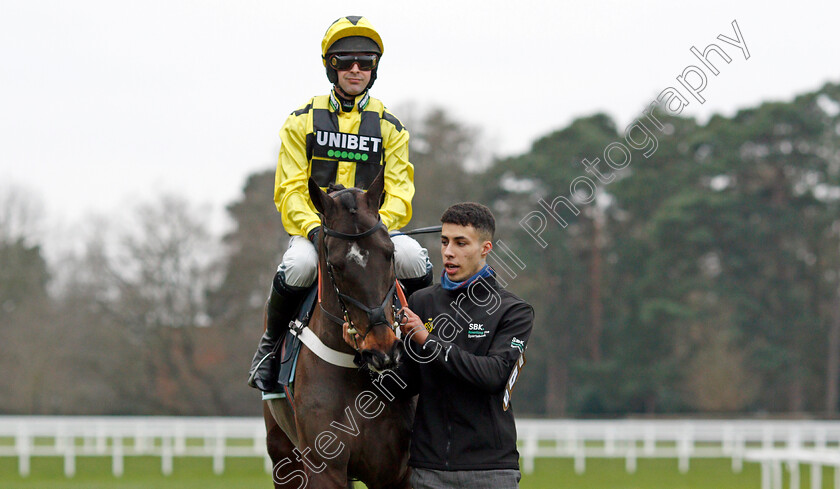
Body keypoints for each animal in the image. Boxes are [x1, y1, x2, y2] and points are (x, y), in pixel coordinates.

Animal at [266, 171, 414, 488]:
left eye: (390, 253)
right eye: (335, 265)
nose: (382, 351)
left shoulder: (397, 471)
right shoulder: (324, 467)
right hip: (282, 457)